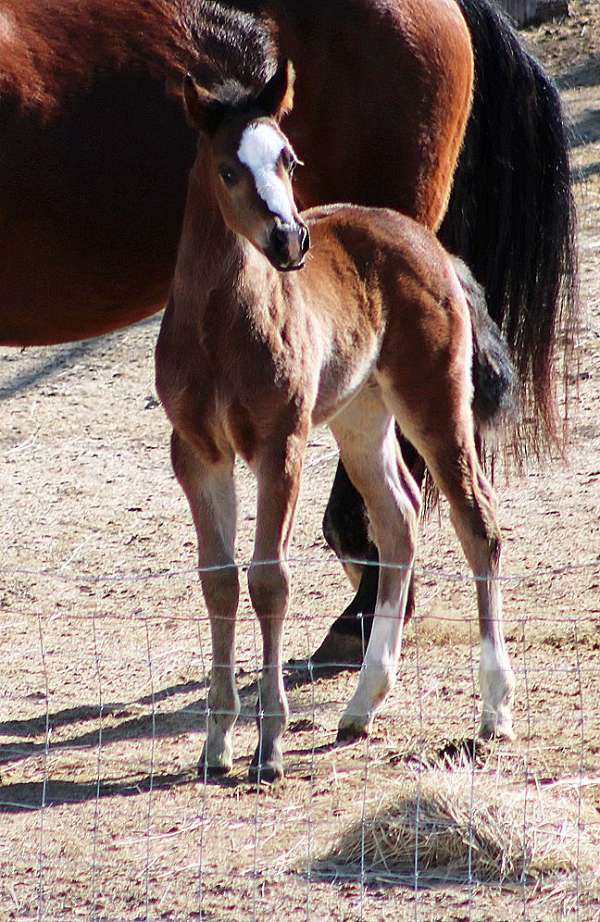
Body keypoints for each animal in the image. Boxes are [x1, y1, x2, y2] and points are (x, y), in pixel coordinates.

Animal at [157, 63, 516, 784]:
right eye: (227, 169)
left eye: (289, 159)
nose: (289, 239)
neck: (216, 330)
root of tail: (429, 242)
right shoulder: (197, 453)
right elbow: (219, 582)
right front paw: (216, 745)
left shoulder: (280, 443)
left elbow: (268, 579)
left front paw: (269, 748)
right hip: (360, 415)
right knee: (399, 519)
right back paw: (362, 704)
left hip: (434, 398)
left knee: (477, 522)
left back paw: (493, 709)